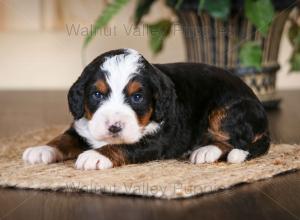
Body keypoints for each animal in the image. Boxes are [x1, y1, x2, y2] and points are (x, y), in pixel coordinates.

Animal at [21, 48, 270, 170]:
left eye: (138, 97)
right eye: (97, 95)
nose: (114, 127)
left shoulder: (156, 140)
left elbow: (124, 146)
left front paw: (95, 155)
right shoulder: (82, 126)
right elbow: (63, 138)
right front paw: (42, 149)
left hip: (225, 111)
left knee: (236, 141)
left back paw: (205, 150)